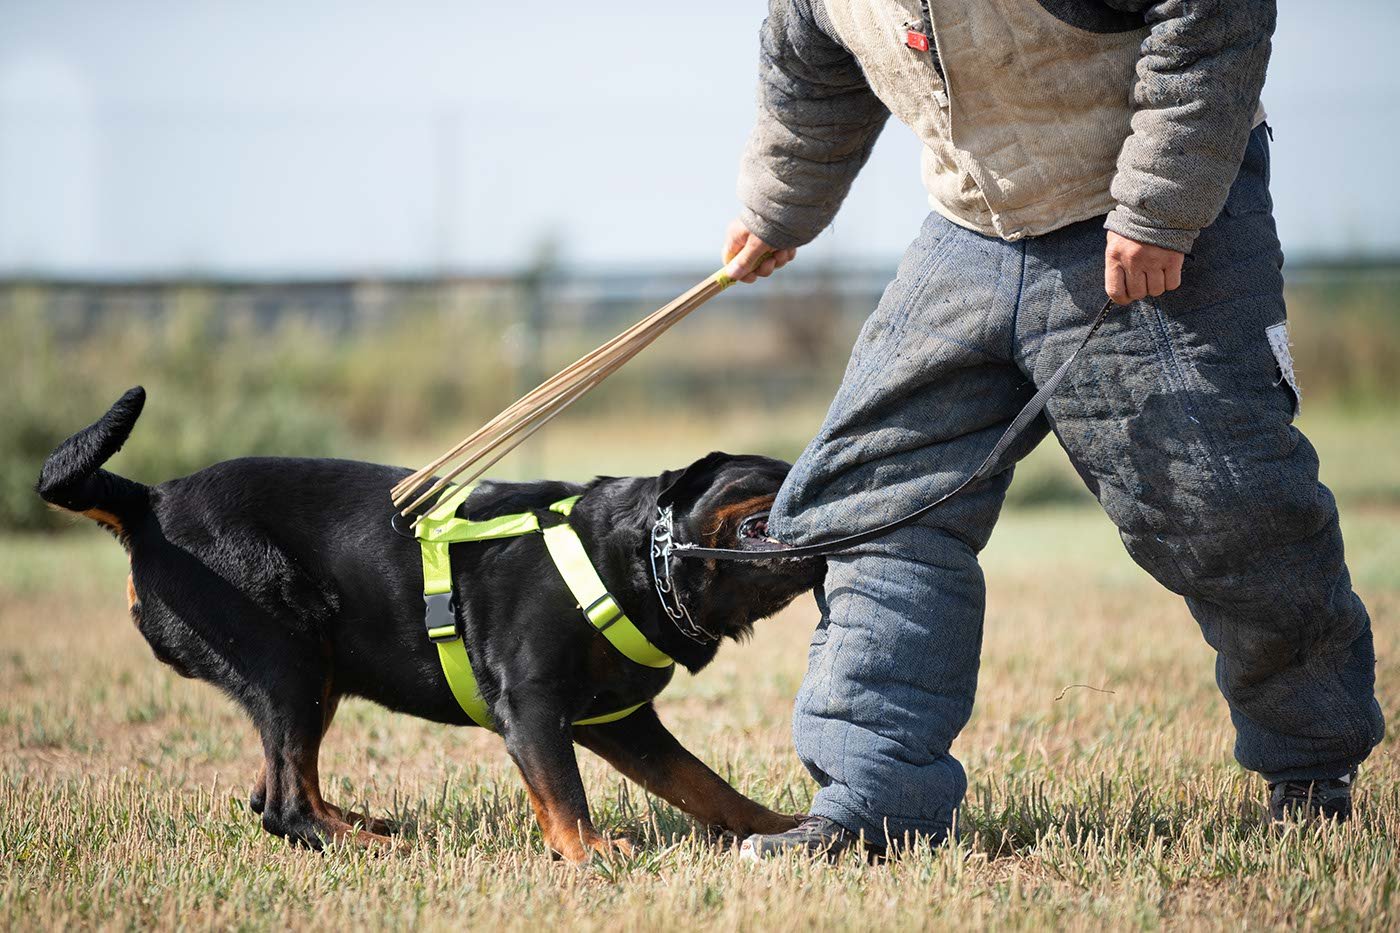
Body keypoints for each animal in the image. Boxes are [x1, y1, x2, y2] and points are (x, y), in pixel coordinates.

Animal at [35, 383, 817, 857]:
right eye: (776, 473)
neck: (633, 563)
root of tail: (149, 503)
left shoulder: (621, 720)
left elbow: (702, 781)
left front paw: (781, 828)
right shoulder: (533, 704)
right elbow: (565, 791)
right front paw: (590, 852)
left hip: (311, 676)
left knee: (275, 788)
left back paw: (362, 825)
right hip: (287, 661)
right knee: (283, 801)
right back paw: (381, 846)